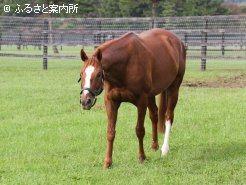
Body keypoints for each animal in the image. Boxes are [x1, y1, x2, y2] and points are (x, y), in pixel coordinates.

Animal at [78, 28, 185, 168]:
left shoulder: (141, 101)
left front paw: (142, 157)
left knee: (168, 116)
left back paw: (164, 149)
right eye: (81, 74)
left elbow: (139, 130)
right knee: (154, 115)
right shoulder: (111, 102)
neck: (124, 65)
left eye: (98, 74)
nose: (85, 101)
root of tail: (176, 40)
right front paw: (107, 162)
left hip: (173, 88)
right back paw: (154, 145)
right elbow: (110, 132)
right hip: (152, 95)